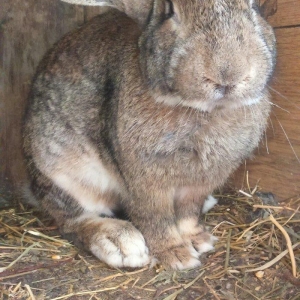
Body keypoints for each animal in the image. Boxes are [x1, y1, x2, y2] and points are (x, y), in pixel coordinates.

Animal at [22, 0, 276, 270]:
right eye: (170, 11)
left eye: (254, 7)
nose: (228, 74)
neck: (205, 110)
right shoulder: (144, 183)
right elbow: (156, 218)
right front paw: (177, 255)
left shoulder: (199, 183)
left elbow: (188, 214)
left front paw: (198, 240)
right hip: (61, 172)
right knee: (70, 220)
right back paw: (120, 242)